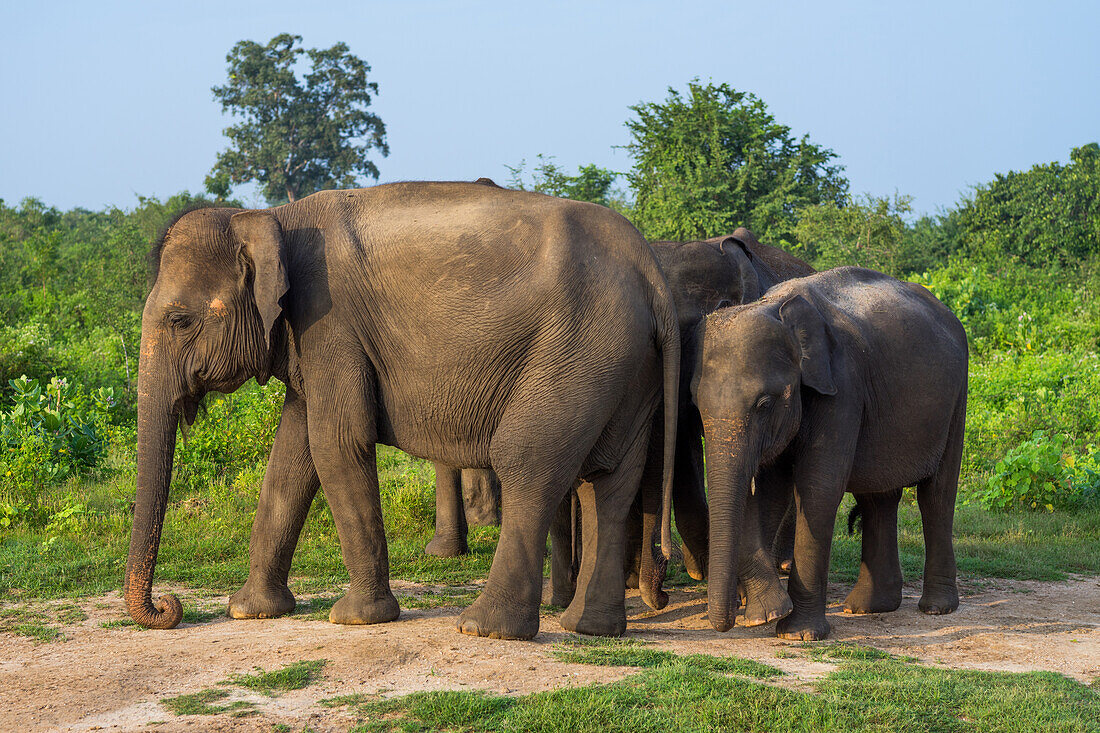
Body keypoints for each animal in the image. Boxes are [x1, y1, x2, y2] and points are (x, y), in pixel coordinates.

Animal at [126, 182, 677, 638]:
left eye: (180, 321)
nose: (169, 608)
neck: (271, 218)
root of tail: (652, 274)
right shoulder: (311, 338)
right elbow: (293, 454)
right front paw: (251, 611)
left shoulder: (331, 322)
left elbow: (337, 442)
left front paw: (356, 619)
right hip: (624, 366)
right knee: (608, 481)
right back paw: (589, 627)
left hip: (579, 351)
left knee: (529, 462)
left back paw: (484, 628)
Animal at [690, 265, 968, 638]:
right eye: (697, 406)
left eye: (764, 404)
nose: (727, 623)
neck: (777, 307)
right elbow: (769, 491)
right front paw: (767, 612)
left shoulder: (843, 386)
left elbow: (817, 489)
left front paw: (797, 632)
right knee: (878, 496)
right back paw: (867, 607)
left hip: (956, 397)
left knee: (936, 494)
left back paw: (936, 608)